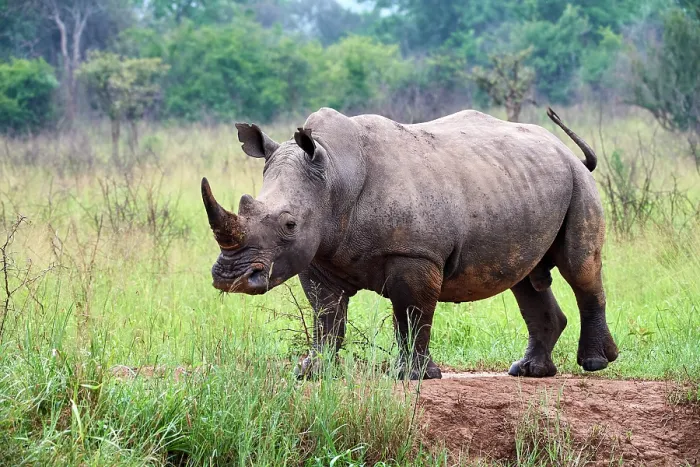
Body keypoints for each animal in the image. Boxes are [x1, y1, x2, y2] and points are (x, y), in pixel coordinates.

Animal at [201, 107, 618, 379]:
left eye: (289, 224)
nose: (230, 278)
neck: (333, 175)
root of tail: (565, 150)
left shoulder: (416, 253)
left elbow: (413, 313)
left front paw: (413, 377)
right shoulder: (319, 254)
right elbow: (326, 315)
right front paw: (313, 371)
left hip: (578, 183)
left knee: (579, 267)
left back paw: (595, 363)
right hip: (522, 182)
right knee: (526, 279)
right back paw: (529, 371)